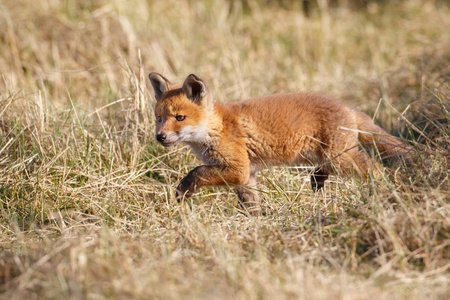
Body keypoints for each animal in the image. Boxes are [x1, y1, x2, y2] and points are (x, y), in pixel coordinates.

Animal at [149, 71, 412, 214]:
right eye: (159, 118)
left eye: (179, 118)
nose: (160, 137)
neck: (218, 129)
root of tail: (348, 108)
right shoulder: (247, 176)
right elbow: (250, 205)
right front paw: (255, 226)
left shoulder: (237, 169)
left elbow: (197, 172)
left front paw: (183, 191)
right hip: (329, 158)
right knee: (321, 172)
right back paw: (318, 184)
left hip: (342, 160)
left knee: (377, 170)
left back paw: (387, 192)